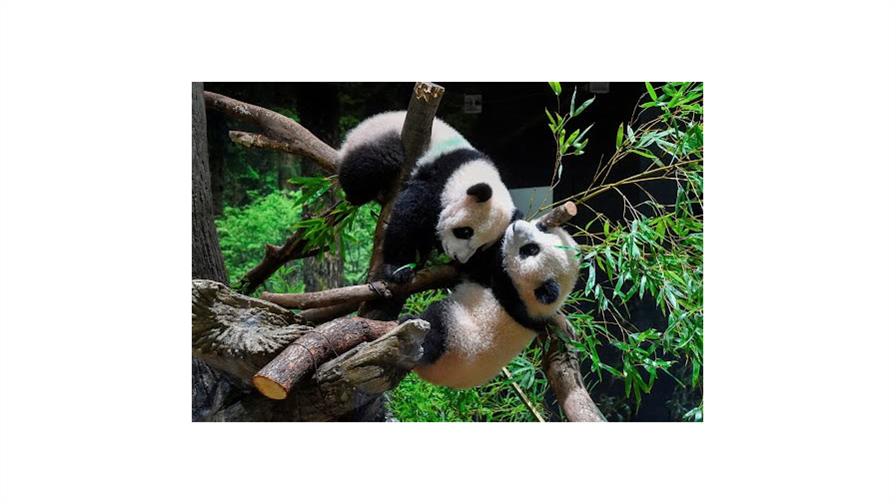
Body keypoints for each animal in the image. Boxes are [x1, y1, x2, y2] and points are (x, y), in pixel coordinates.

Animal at [338, 111, 516, 283]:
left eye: (481, 246)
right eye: (465, 232)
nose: (459, 257)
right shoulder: (438, 177)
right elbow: (410, 213)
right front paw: (399, 269)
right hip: (376, 137)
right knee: (373, 163)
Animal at [412, 217, 580, 389]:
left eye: (530, 250)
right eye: (542, 229)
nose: (517, 226)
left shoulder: (504, 286)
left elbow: (477, 264)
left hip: (454, 338)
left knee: (435, 329)